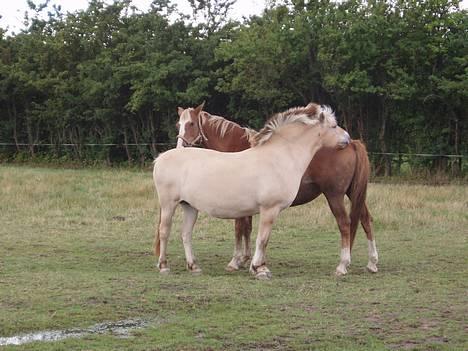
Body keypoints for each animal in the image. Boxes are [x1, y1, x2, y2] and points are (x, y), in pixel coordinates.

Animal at [152, 102, 350, 280]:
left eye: (191, 123)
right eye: (333, 126)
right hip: (169, 205)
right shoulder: (269, 209)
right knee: (164, 231)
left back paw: (193, 266)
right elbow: (262, 239)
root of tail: (161, 158)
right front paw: (259, 268)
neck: (281, 156)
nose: (347, 138)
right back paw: (163, 266)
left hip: (189, 207)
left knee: (186, 234)